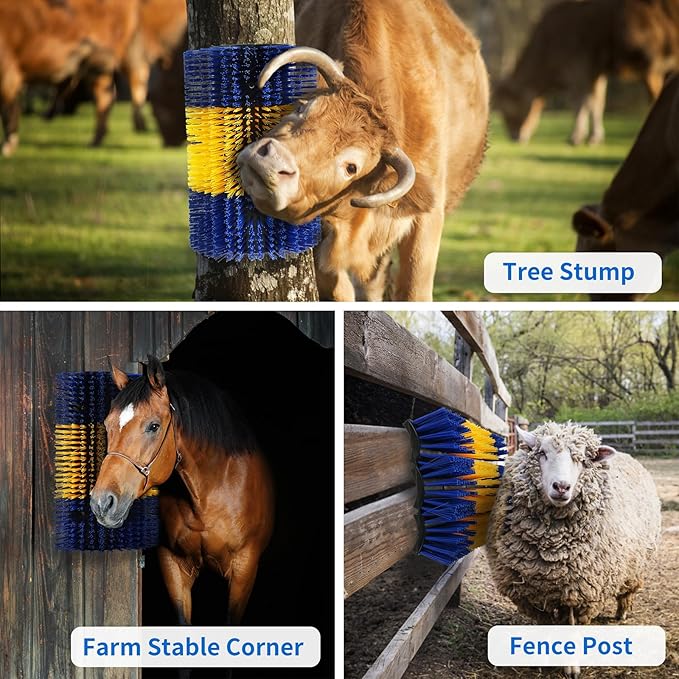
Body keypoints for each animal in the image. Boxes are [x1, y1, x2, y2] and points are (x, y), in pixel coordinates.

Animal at [0, 0, 141, 156]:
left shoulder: (8, 65)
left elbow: (8, 105)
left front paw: (8, 146)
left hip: (103, 61)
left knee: (107, 96)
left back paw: (94, 141)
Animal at [90, 355, 275, 629]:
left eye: (153, 426)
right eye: (107, 424)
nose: (102, 503)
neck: (208, 494)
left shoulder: (244, 568)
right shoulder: (173, 565)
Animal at [495, 0, 679, 145]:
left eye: (509, 108)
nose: (515, 137)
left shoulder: (578, 67)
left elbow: (580, 102)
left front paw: (576, 137)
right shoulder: (596, 71)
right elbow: (597, 102)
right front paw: (594, 137)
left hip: (650, 60)